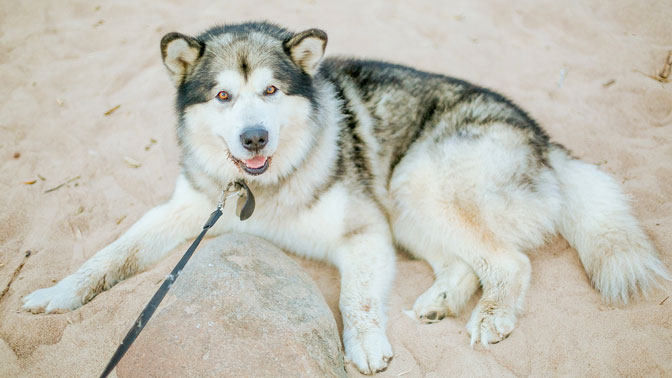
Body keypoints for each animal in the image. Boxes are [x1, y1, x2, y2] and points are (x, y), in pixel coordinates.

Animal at [21, 22, 668, 376]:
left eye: (271, 91)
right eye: (224, 96)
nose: (253, 138)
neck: (264, 185)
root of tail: (545, 141)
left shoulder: (365, 229)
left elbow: (355, 296)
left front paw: (365, 343)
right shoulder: (190, 209)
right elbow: (114, 253)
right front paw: (59, 293)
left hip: (415, 181)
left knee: (509, 261)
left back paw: (491, 316)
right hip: (409, 208)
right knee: (467, 261)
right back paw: (440, 299)